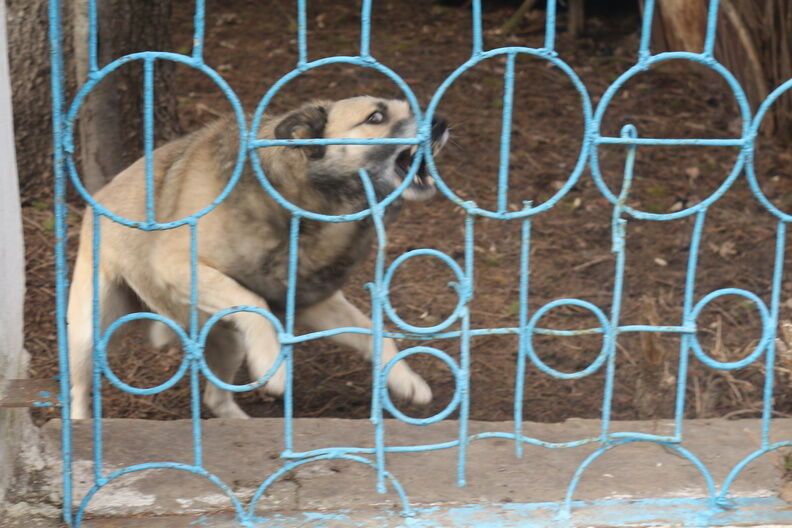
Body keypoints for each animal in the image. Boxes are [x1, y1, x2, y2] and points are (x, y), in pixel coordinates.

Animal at [66, 94, 452, 416]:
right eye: (376, 117)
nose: (441, 123)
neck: (301, 200)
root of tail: (100, 196)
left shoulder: (315, 303)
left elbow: (376, 334)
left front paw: (406, 380)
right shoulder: (177, 266)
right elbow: (256, 304)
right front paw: (272, 364)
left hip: (230, 340)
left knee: (216, 398)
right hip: (88, 331)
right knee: (78, 391)